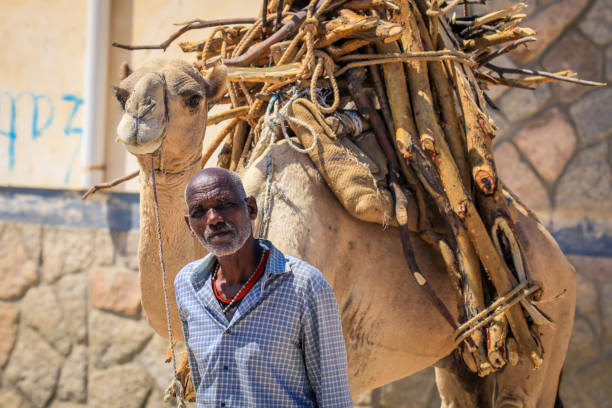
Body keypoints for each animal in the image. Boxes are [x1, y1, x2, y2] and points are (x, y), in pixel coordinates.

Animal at [113, 58, 572, 408]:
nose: (138, 116)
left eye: (192, 98)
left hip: (546, 324)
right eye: (122, 93)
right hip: (463, 358)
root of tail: (560, 258)